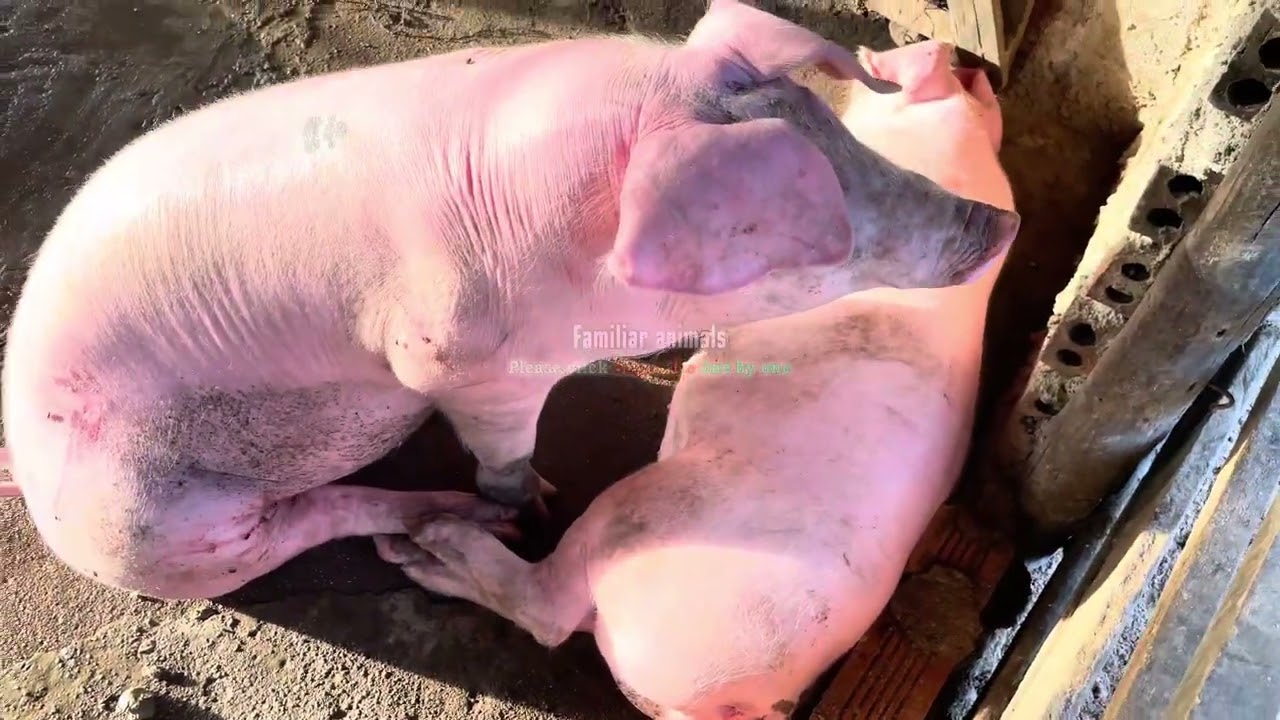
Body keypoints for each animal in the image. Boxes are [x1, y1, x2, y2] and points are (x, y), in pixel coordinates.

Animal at [0, 0, 1019, 601]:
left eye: (848, 142)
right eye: (818, 234)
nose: (1001, 221)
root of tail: (31, 480)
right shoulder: (455, 360)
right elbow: (505, 448)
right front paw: (532, 499)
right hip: (159, 528)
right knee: (302, 523)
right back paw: (454, 519)